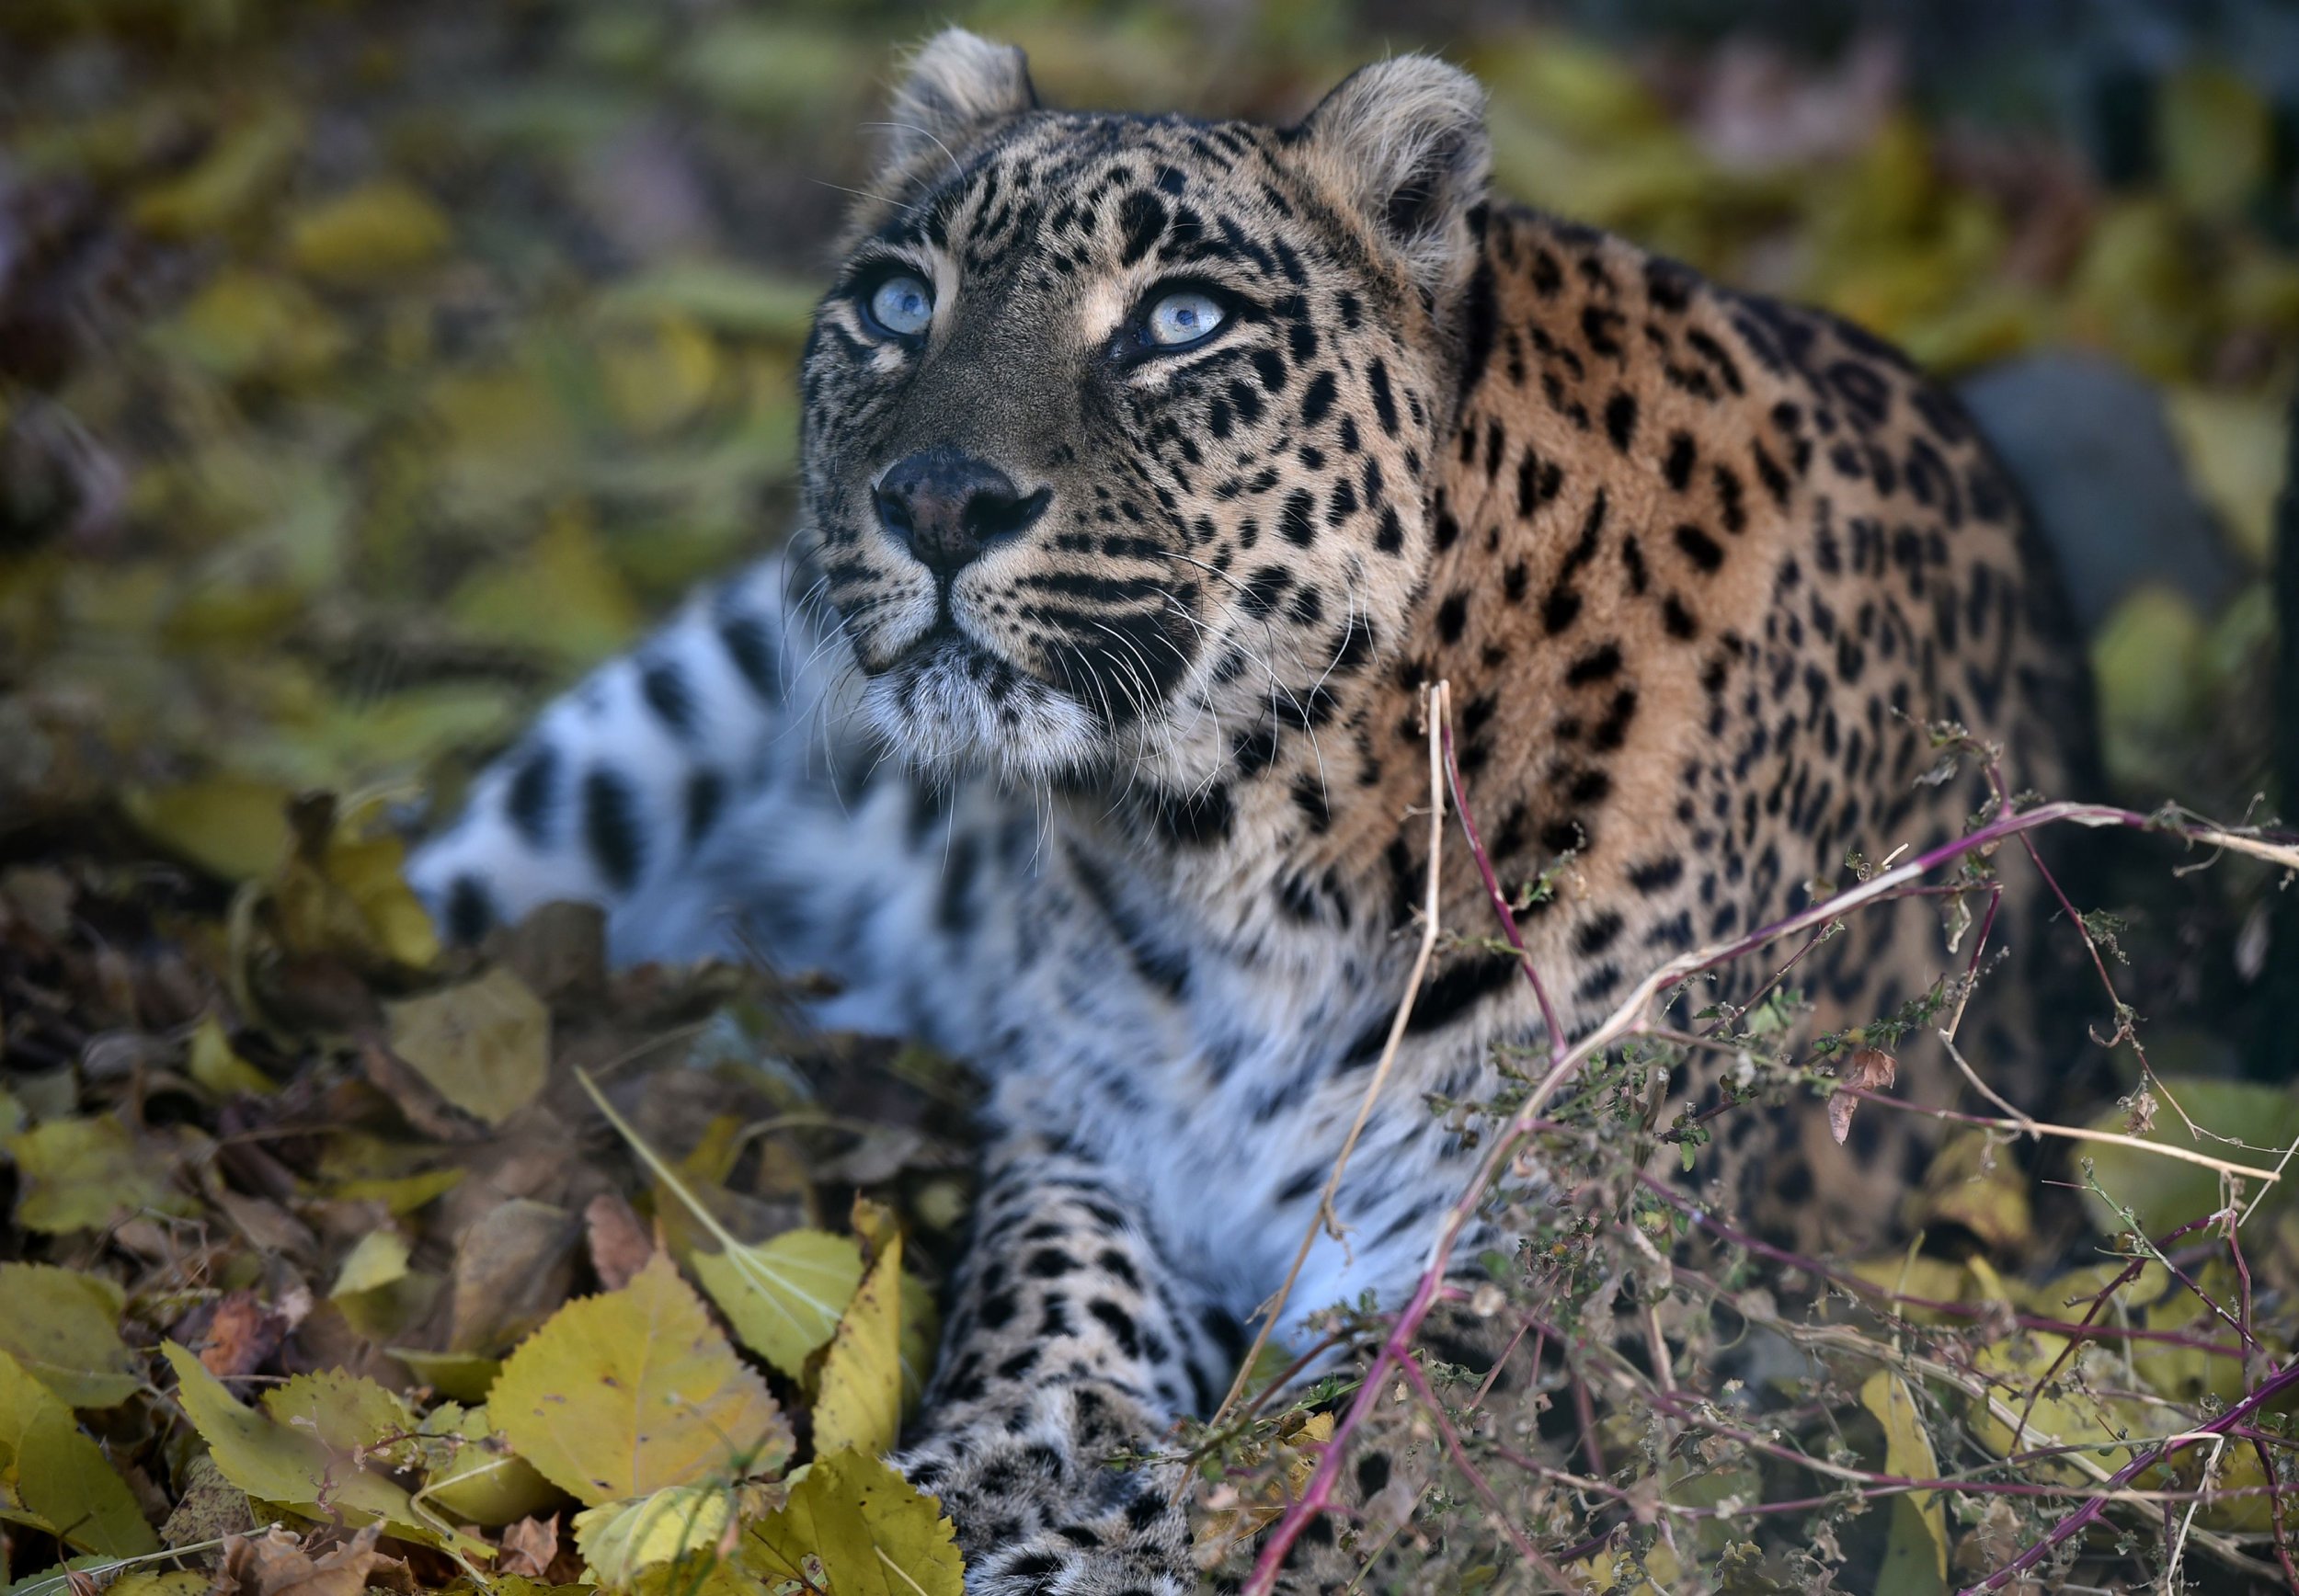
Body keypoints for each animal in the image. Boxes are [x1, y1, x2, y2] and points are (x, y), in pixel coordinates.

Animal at [400, 28, 2106, 1596]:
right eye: (898, 305)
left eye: (1181, 320)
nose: (937, 498)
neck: (1243, 842)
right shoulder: (1078, 1127)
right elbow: (1047, 1299)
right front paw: (977, 1480)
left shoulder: (1576, 1266)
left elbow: (1354, 1451)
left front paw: (1100, 1547)